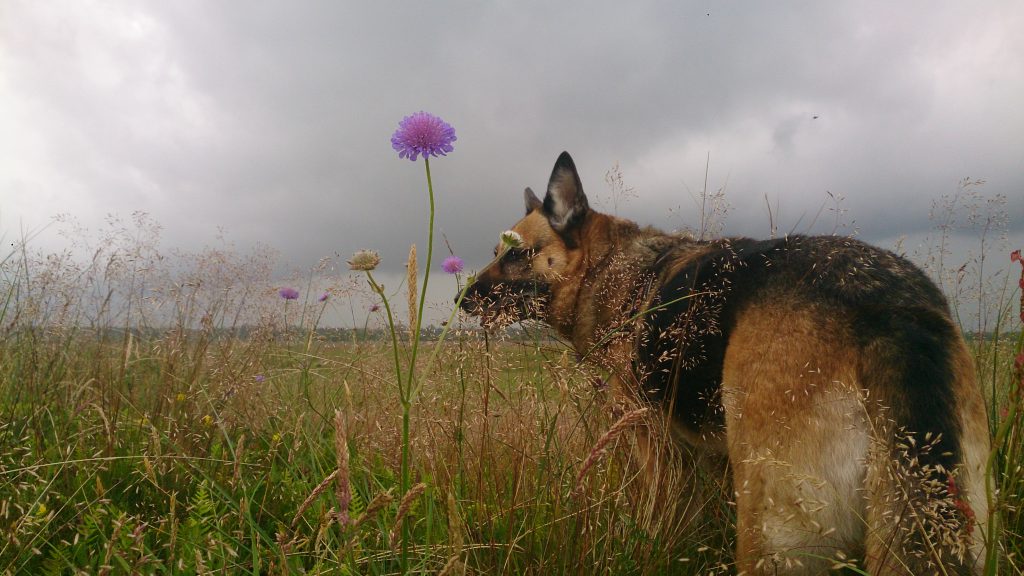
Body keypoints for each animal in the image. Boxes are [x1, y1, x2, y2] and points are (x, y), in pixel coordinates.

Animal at [462, 152, 991, 573]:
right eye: (495, 252)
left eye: (516, 256)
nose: (460, 300)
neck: (607, 269)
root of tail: (887, 309)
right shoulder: (707, 456)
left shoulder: (654, 446)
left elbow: (663, 520)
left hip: (772, 527)